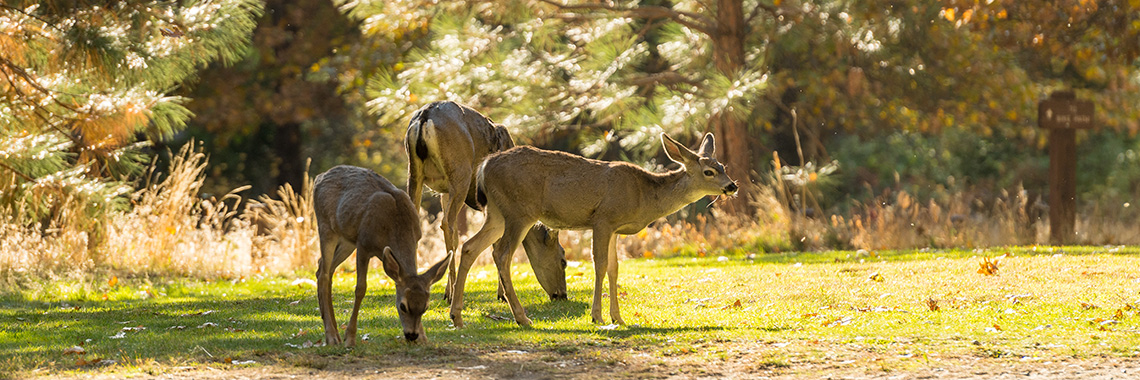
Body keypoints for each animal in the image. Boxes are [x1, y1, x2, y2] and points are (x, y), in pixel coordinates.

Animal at [316, 164, 453, 344]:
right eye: (402, 306)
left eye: (425, 307)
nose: (412, 335)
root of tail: (319, 177)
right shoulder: (363, 243)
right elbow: (360, 289)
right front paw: (350, 338)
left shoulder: (415, 241)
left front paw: (424, 338)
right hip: (325, 225)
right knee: (324, 274)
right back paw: (332, 336)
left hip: (346, 240)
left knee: (323, 268)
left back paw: (333, 332)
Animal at [405, 100, 570, 301]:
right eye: (563, 260)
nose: (562, 294)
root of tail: (425, 116)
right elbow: (496, 241)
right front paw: (502, 294)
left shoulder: (444, 193)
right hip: (460, 172)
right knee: (447, 224)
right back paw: (452, 292)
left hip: (415, 172)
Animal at [444, 131, 738, 326]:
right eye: (709, 172)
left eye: (723, 166)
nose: (732, 185)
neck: (644, 196)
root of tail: (484, 166)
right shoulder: (603, 219)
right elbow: (599, 264)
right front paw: (597, 316)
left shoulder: (615, 229)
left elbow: (614, 268)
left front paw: (618, 317)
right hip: (519, 211)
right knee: (501, 254)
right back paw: (522, 317)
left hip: (496, 213)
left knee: (470, 247)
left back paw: (456, 315)